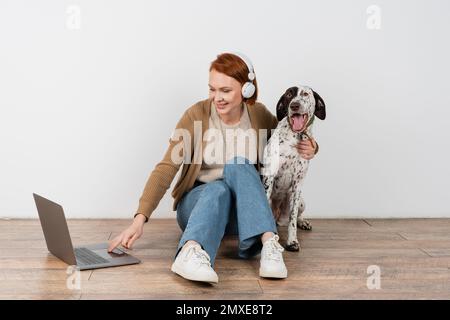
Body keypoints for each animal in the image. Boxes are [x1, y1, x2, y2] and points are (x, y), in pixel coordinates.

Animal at [262, 86, 326, 251]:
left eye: (305, 94)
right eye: (289, 94)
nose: (294, 105)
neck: (296, 137)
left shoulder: (298, 184)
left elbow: (292, 219)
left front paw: (292, 241)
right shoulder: (269, 178)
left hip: (301, 200)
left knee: (296, 216)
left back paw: (303, 222)